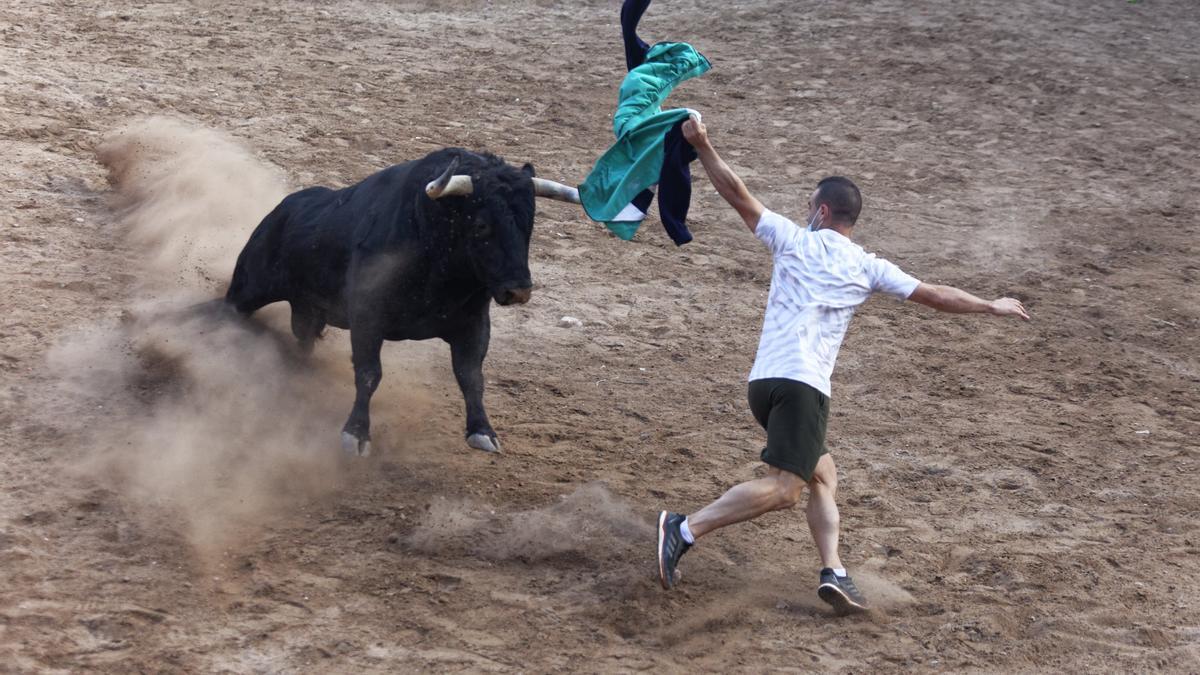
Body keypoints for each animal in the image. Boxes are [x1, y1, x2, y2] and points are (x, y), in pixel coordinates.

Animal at [226, 146, 568, 451]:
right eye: (482, 224)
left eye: (529, 224)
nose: (519, 290)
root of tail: (280, 209)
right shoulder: (367, 318)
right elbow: (369, 373)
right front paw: (356, 434)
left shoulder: (474, 323)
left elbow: (471, 376)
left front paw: (483, 432)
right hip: (248, 289)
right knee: (230, 308)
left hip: (307, 312)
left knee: (303, 341)